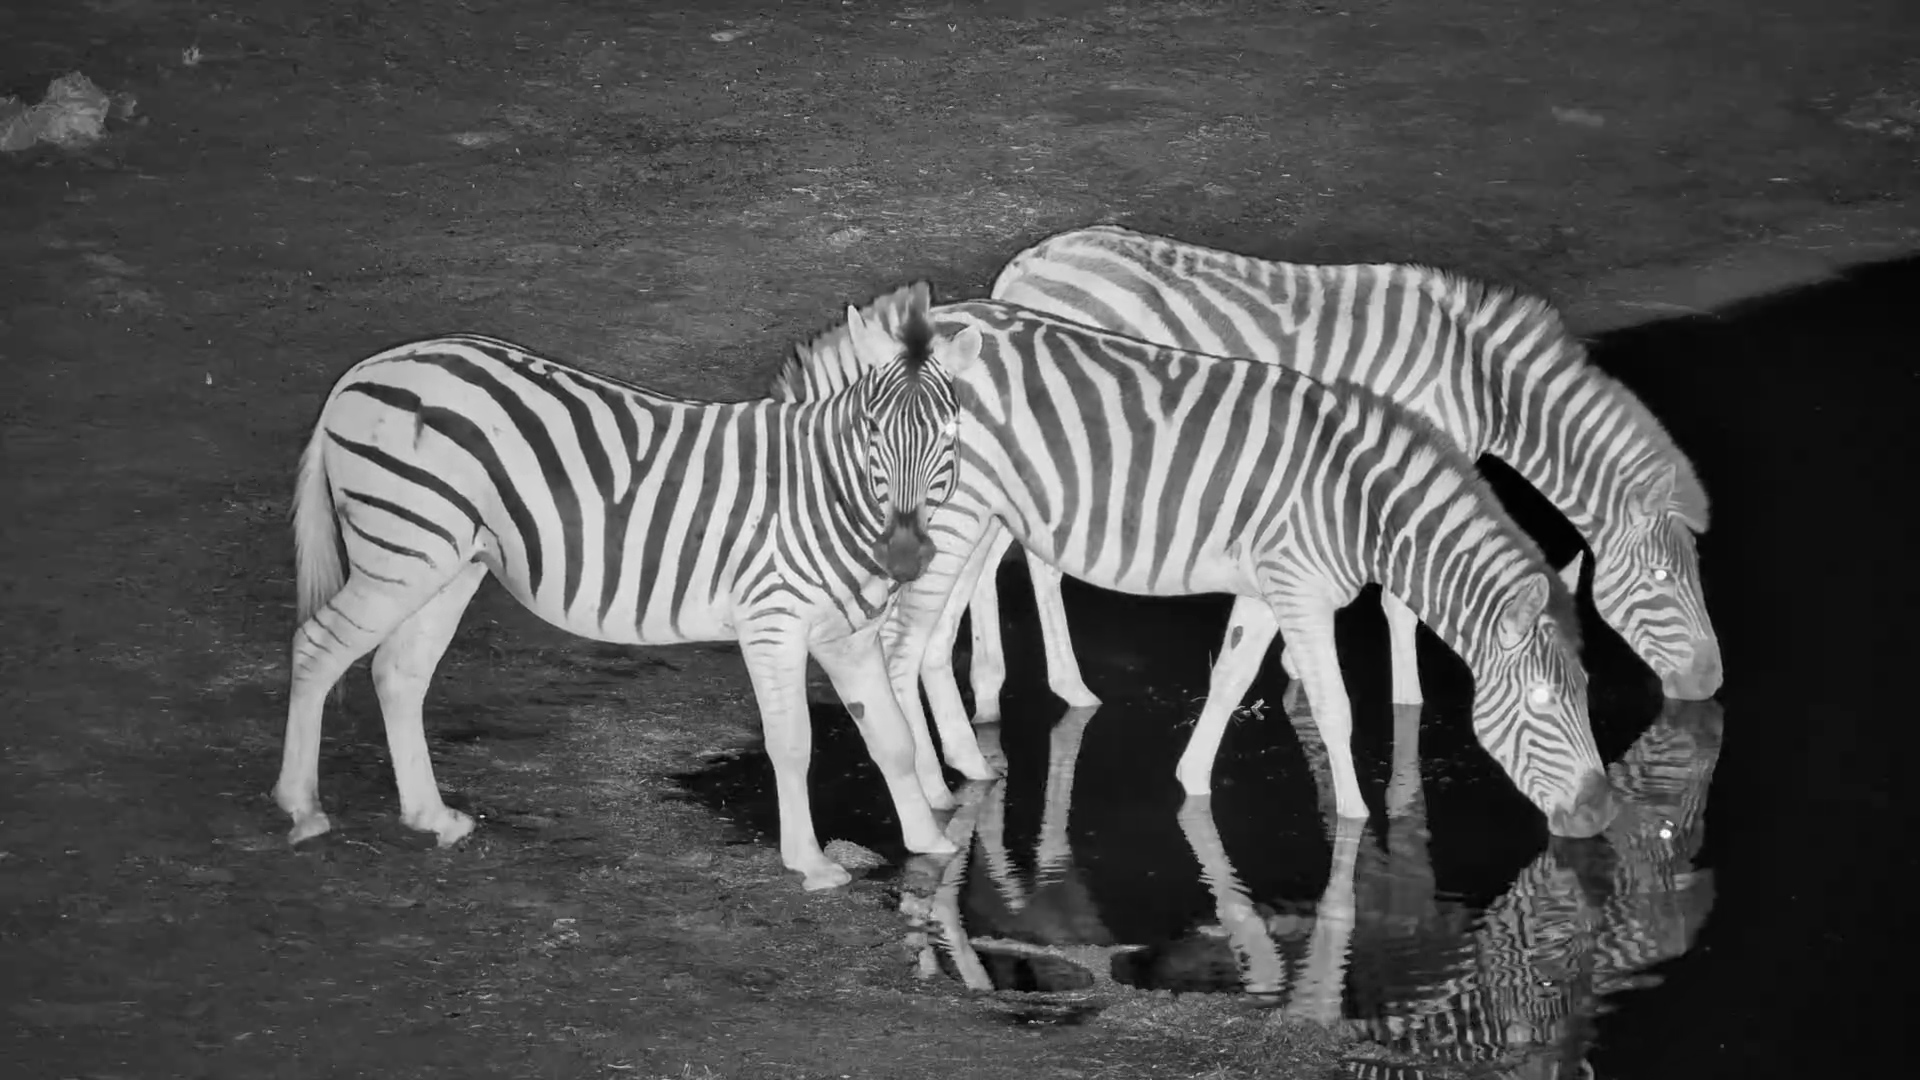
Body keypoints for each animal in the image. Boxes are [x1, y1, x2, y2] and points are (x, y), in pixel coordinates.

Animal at [272, 283, 981, 891]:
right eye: (873, 432)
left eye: (950, 433)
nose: (906, 556)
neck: (826, 490)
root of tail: (360, 373)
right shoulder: (771, 623)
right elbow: (792, 745)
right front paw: (810, 864)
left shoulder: (848, 636)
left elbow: (892, 739)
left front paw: (932, 842)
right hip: (403, 552)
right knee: (316, 647)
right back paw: (301, 808)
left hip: (448, 562)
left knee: (397, 671)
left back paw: (431, 817)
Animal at [776, 299, 1619, 835]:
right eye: (1543, 702)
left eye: (1587, 691)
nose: (1601, 815)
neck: (1357, 501)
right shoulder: (1300, 590)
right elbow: (1337, 707)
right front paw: (1355, 821)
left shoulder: (1269, 588)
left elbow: (1233, 676)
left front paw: (1190, 783)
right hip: (949, 523)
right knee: (898, 650)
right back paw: (929, 790)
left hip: (975, 522)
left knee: (924, 641)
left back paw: (968, 769)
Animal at [949, 225, 1719, 740]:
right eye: (1661, 580)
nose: (1711, 685)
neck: (1480, 377)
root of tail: (1019, 268)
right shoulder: (1420, 458)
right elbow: (1403, 604)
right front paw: (1407, 703)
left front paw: (1294, 664)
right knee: (1020, 560)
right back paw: (1047, 688)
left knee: (1002, 556)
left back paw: (1002, 691)